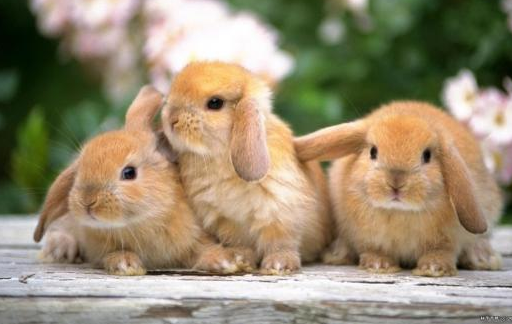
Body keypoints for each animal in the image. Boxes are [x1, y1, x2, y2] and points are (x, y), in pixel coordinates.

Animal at [33, 85, 254, 274]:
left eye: (129, 173)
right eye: (79, 171)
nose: (88, 201)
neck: (142, 223)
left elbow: (203, 251)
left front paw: (225, 261)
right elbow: (112, 254)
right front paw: (125, 264)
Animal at [162, 60, 334, 274]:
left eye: (215, 103)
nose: (171, 120)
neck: (221, 158)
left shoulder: (280, 214)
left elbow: (280, 242)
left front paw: (279, 264)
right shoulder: (227, 222)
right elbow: (241, 244)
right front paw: (240, 259)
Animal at [294, 100, 502, 276]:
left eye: (427, 156)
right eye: (373, 152)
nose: (396, 182)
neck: (399, 212)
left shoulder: (447, 240)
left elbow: (442, 252)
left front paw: (434, 268)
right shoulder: (367, 237)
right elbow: (373, 249)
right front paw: (379, 264)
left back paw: (483, 258)